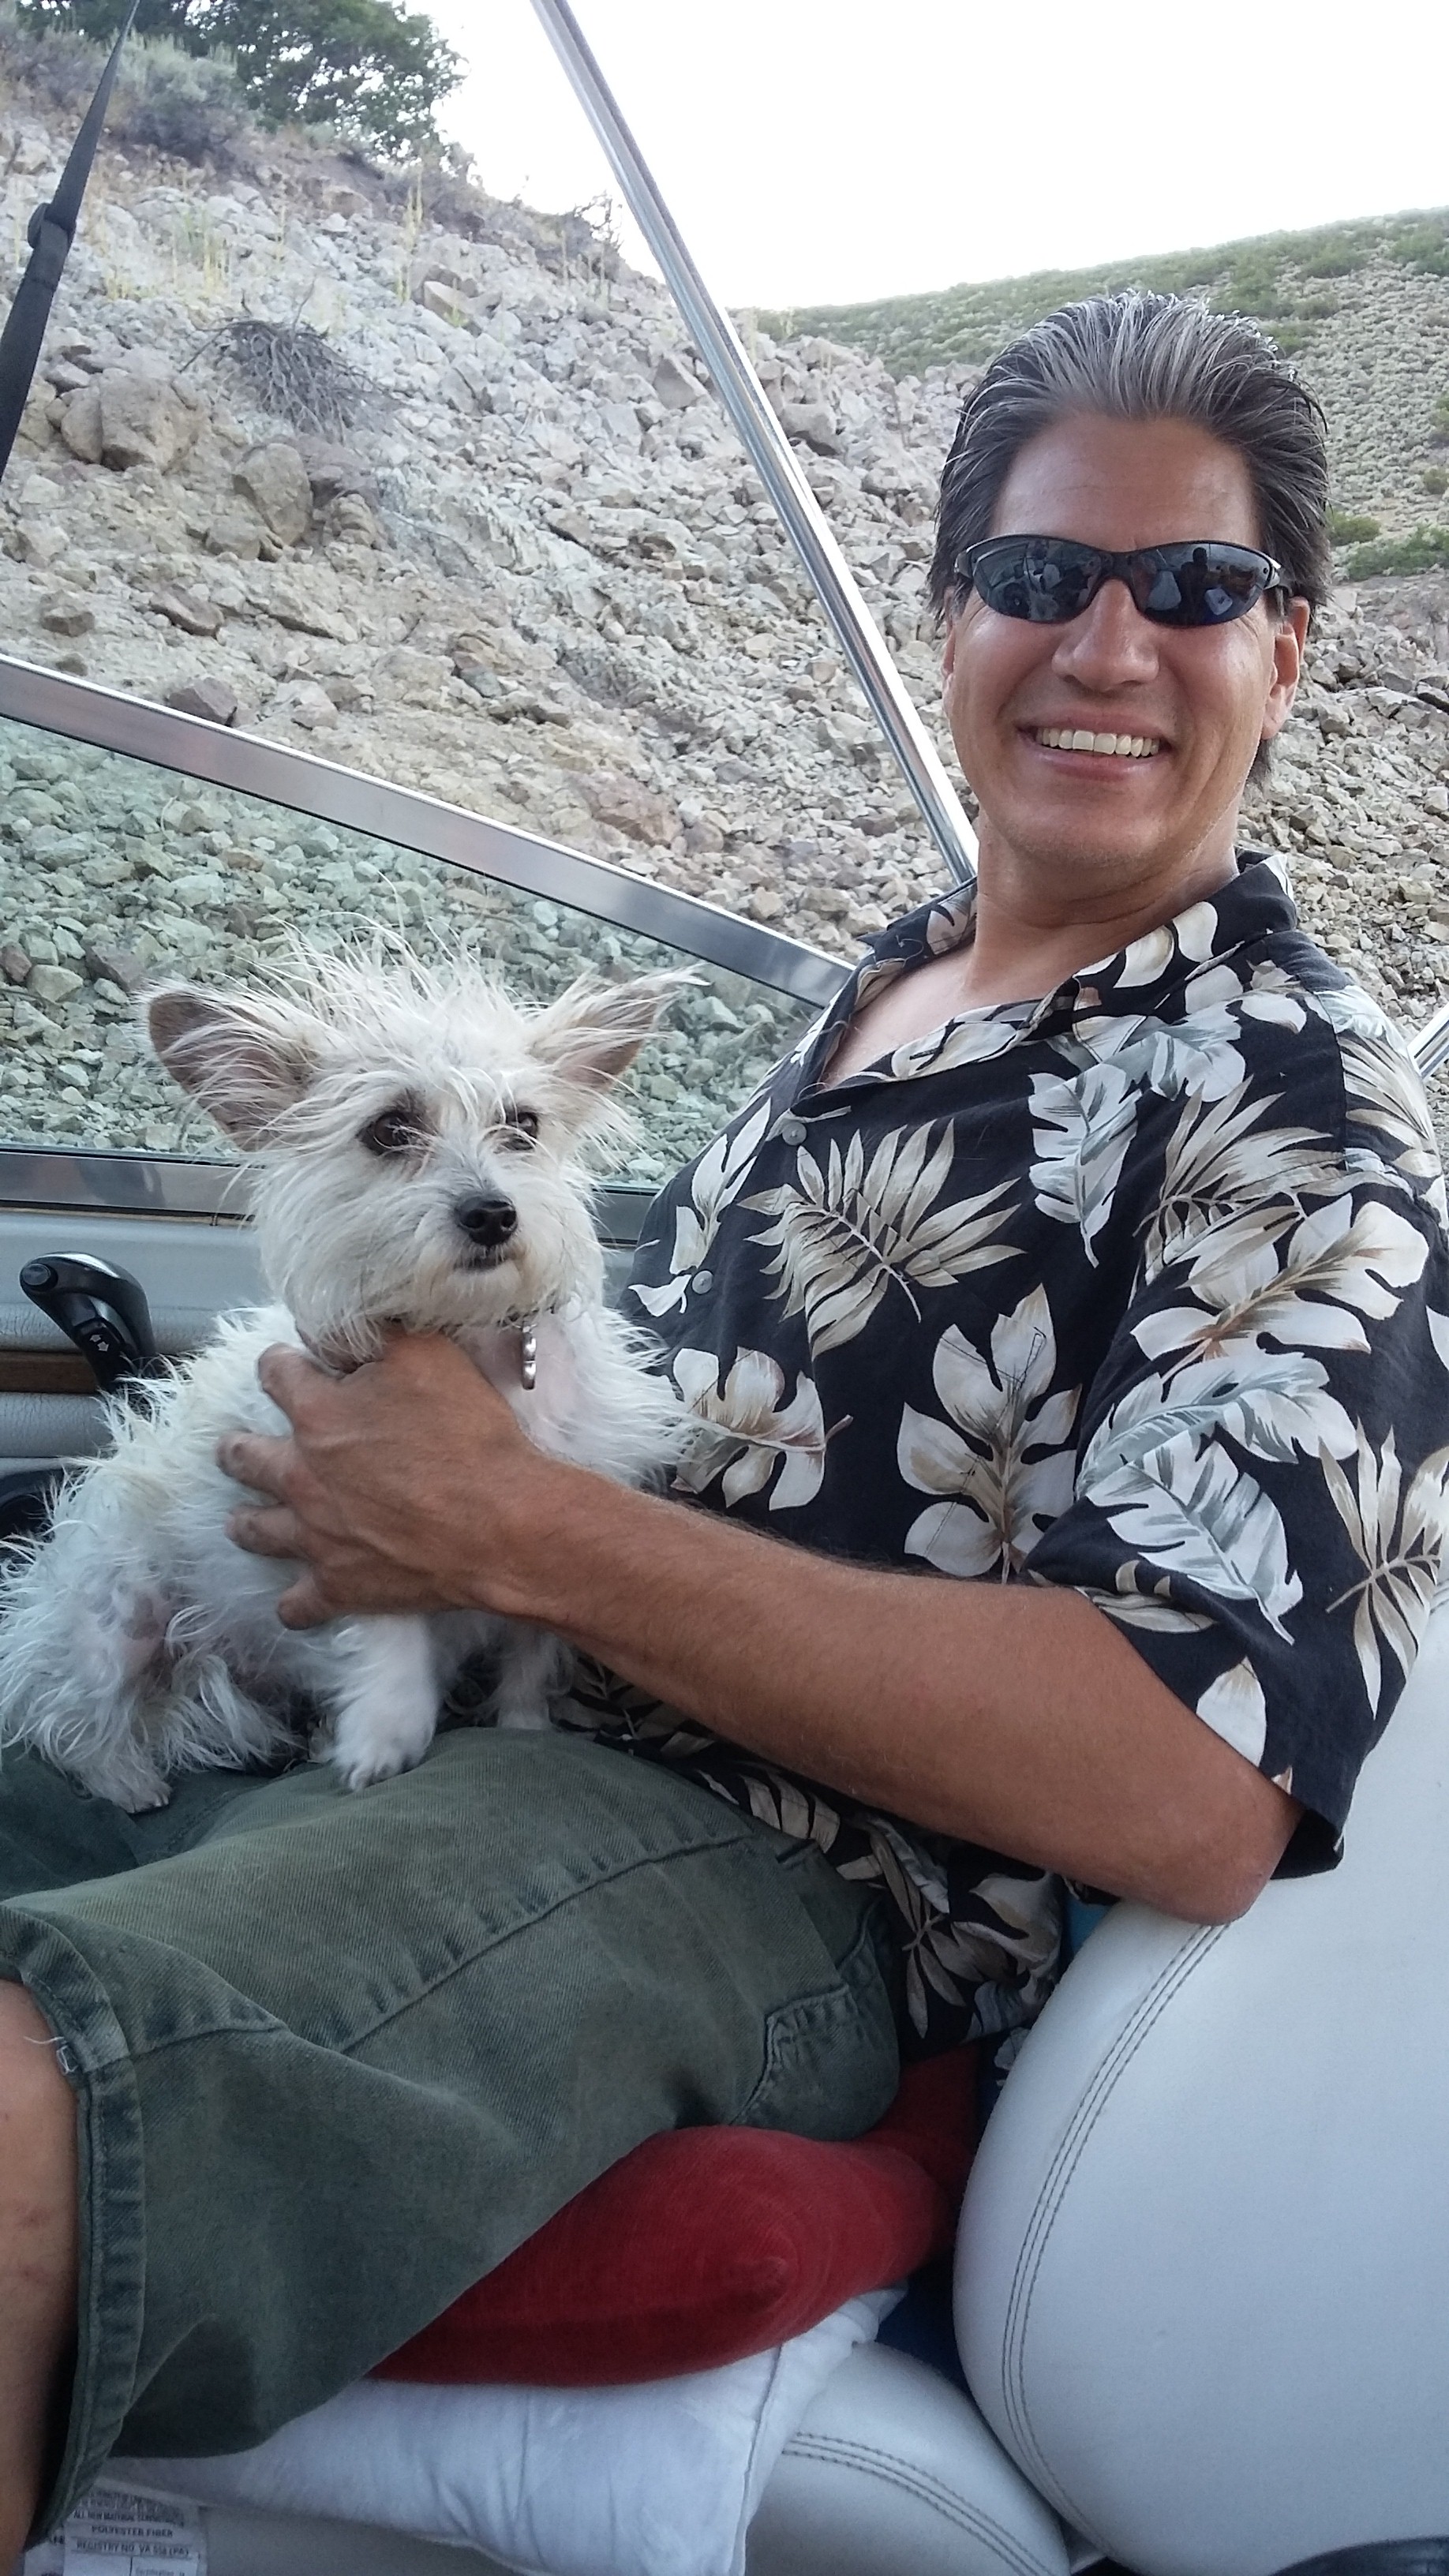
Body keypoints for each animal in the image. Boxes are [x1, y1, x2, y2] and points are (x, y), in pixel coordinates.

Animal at [0, 950, 697, 1810]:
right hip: (116, 1610)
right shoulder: (344, 1518)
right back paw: (124, 1775)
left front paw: (524, 1729)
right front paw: (386, 1728)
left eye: (524, 1125)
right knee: (67, 1709)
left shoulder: (556, 1538)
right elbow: (388, 1623)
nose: (493, 1214)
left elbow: (532, 1658)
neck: (466, 1334)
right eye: (390, 1129)